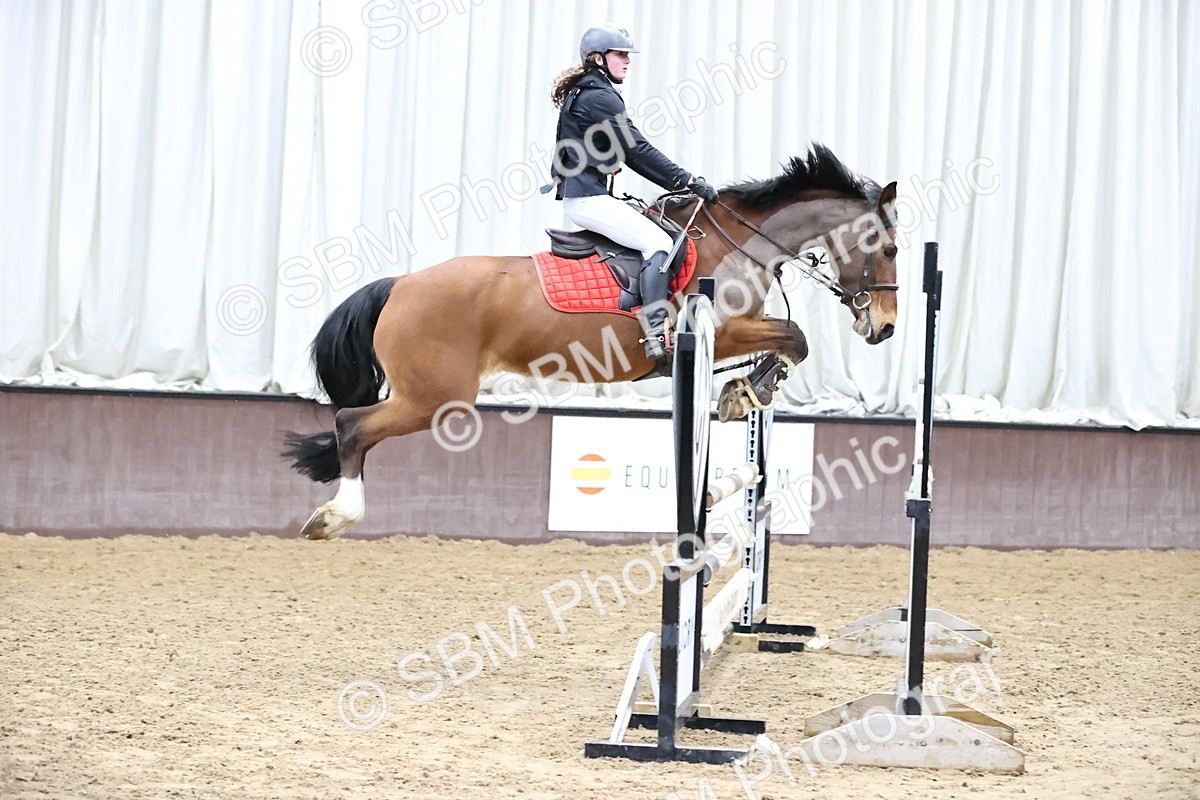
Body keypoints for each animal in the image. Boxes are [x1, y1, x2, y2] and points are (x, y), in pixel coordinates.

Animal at [283, 144, 900, 540]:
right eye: (891, 249)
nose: (886, 328)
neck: (736, 243)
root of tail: (400, 285)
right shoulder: (720, 331)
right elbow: (796, 337)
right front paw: (747, 390)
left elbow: (790, 342)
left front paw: (745, 391)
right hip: (438, 398)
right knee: (351, 425)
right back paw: (335, 517)